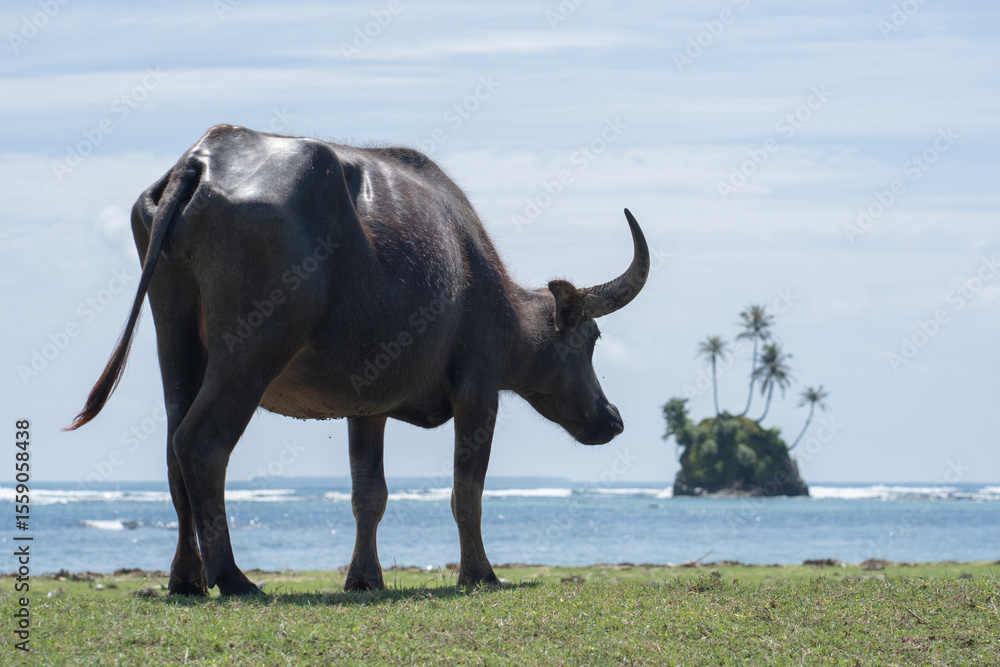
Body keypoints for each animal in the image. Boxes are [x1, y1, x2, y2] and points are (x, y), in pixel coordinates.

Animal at [69, 124, 650, 595]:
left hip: (175, 331)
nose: (613, 418)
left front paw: (365, 578)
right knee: (201, 443)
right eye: (591, 338)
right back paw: (233, 578)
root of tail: (202, 159)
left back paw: (186, 579)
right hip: (253, 349)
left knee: (172, 448)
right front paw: (480, 573)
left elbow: (368, 493)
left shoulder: (367, 405)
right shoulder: (478, 390)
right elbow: (467, 491)